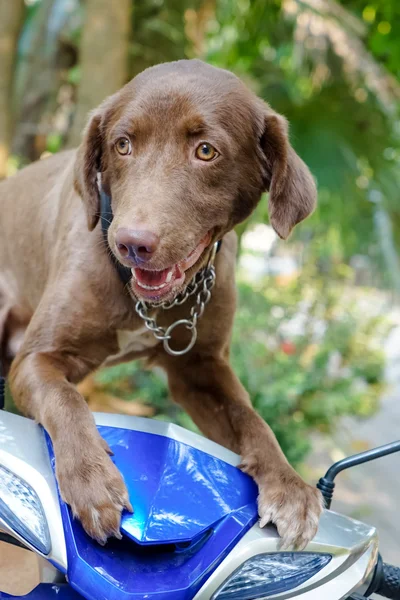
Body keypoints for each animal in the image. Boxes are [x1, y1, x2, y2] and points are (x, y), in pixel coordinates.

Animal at [0, 59, 320, 548]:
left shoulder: (200, 371)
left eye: (206, 151)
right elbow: (66, 400)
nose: (132, 243)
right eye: (122, 145)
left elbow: (253, 420)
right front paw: (92, 480)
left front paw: (290, 485)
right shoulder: (36, 358)